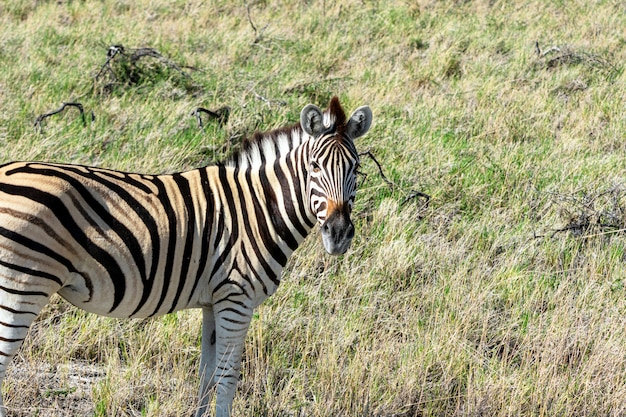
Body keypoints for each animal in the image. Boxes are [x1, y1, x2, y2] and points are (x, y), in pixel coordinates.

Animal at [0, 96, 370, 414]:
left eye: (356, 168)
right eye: (314, 166)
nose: (338, 234)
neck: (258, 209)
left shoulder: (213, 301)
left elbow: (207, 377)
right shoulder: (237, 299)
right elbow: (227, 379)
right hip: (22, 286)